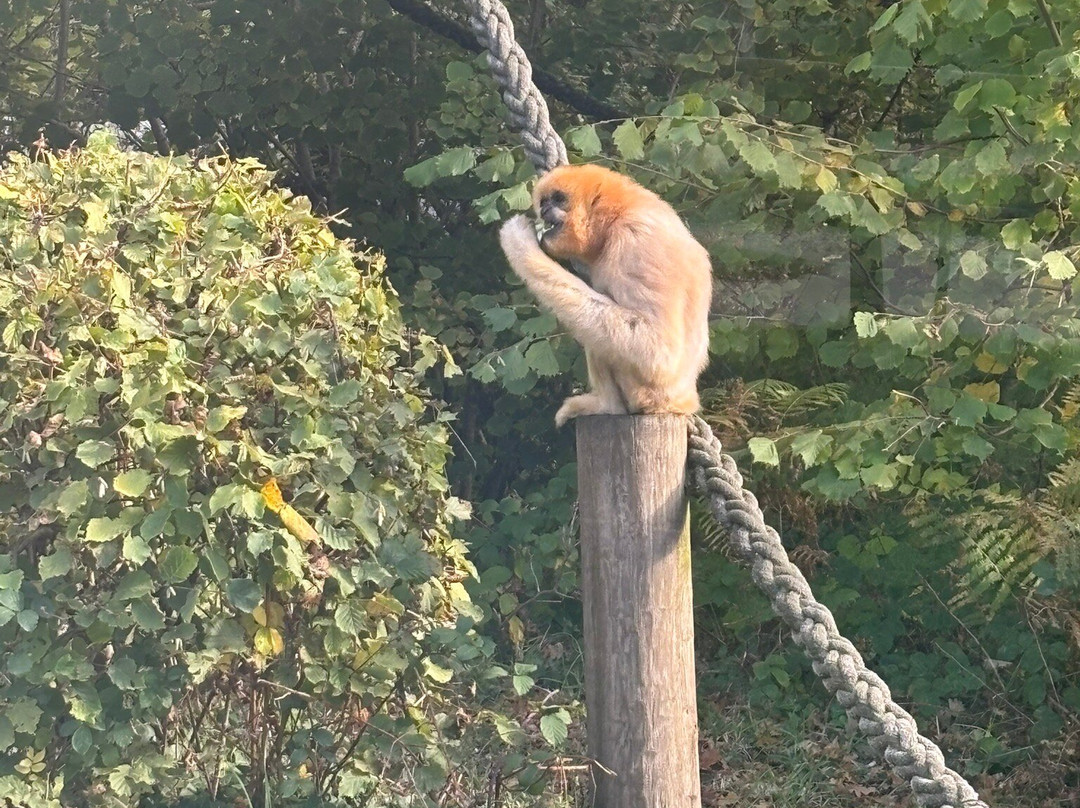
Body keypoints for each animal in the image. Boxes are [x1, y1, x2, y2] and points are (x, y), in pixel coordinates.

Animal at [498, 164, 712, 427]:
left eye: (558, 199)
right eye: (544, 201)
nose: (546, 209)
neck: (618, 213)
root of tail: (684, 402)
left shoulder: (635, 240)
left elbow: (658, 353)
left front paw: (518, 241)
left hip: (644, 394)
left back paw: (606, 406)